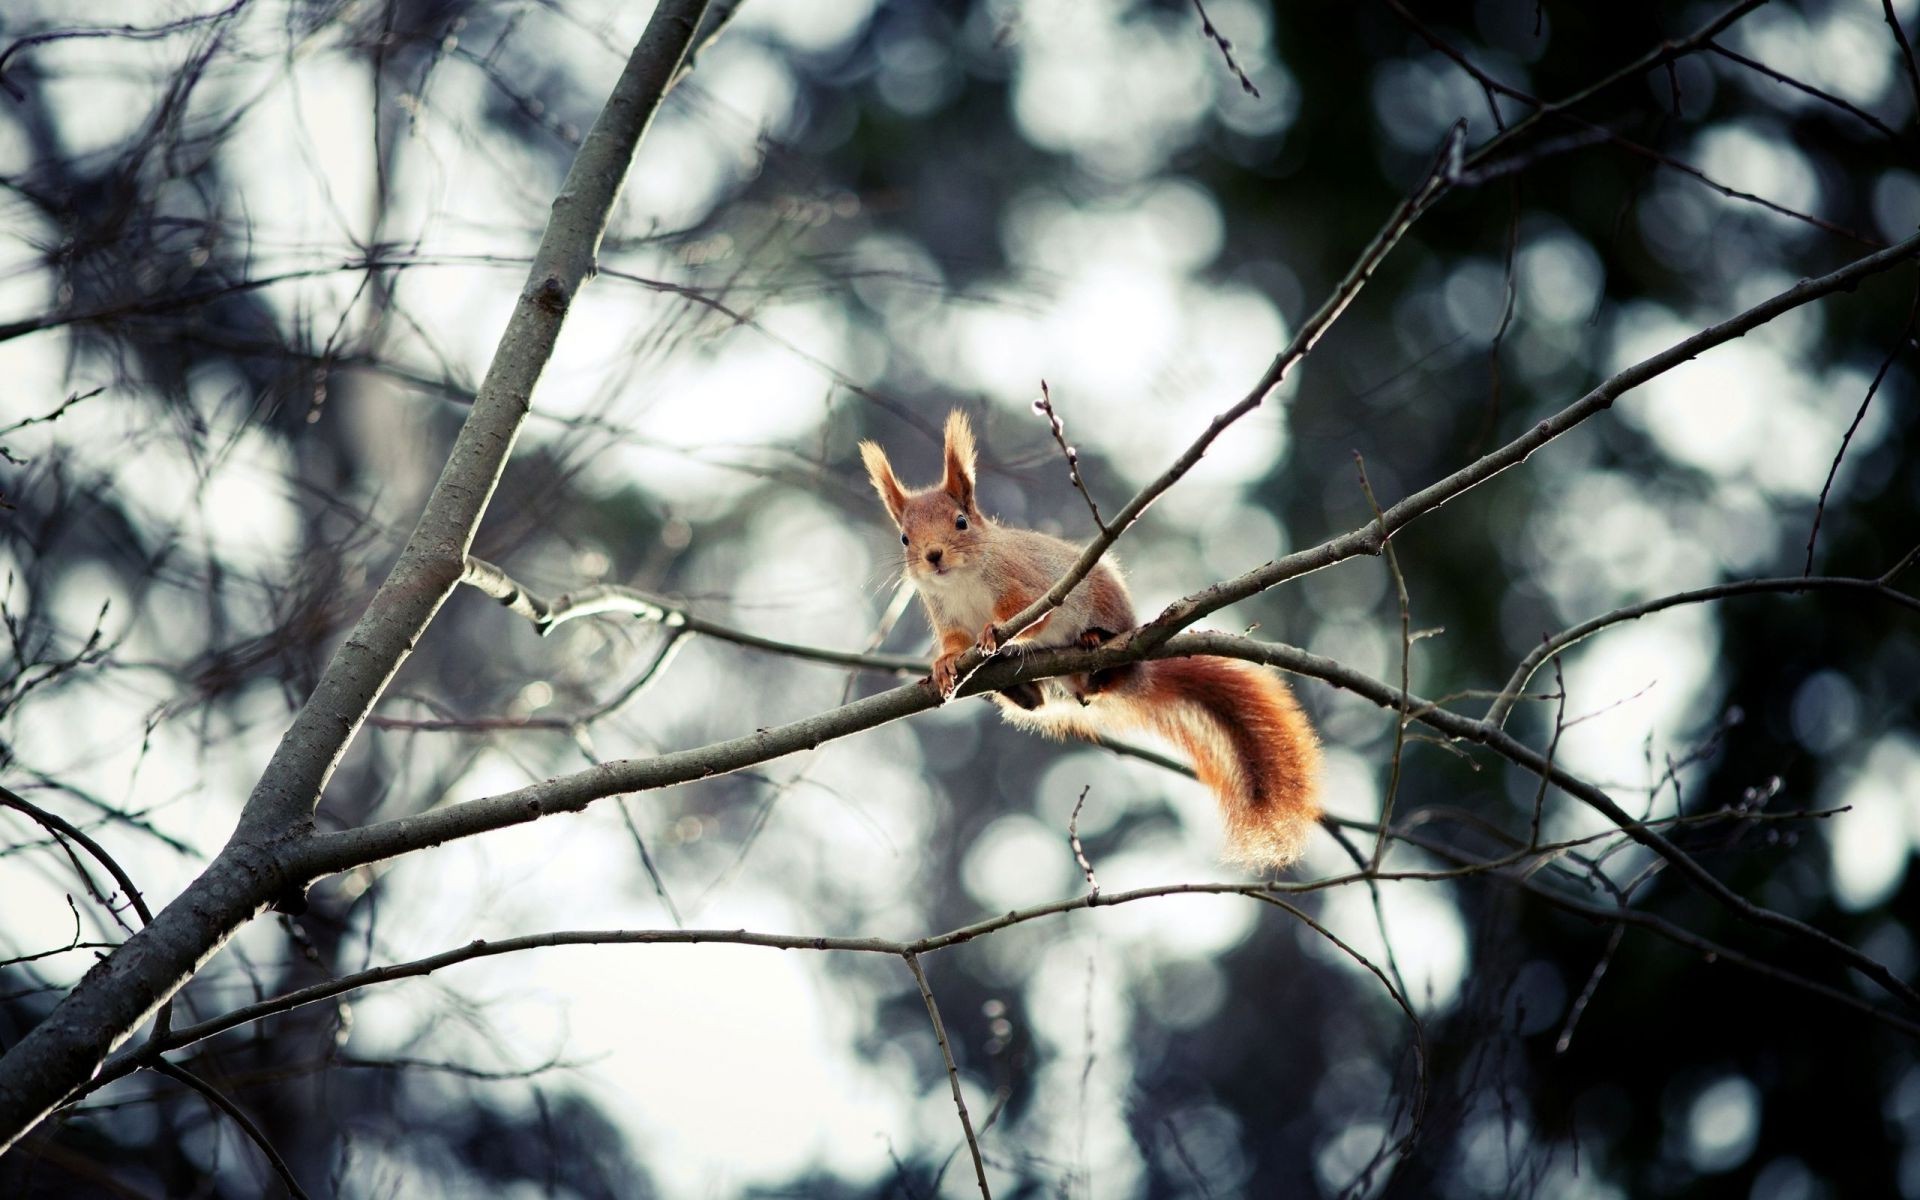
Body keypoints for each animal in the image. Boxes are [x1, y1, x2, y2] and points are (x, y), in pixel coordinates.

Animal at [867, 407, 1328, 864]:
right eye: (905, 537)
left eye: (961, 522)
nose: (933, 556)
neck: (960, 581)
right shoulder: (945, 615)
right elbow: (953, 644)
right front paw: (944, 664)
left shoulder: (1028, 586)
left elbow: (1028, 617)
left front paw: (997, 632)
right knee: (1040, 703)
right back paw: (1019, 690)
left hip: (1109, 612)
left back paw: (1091, 642)